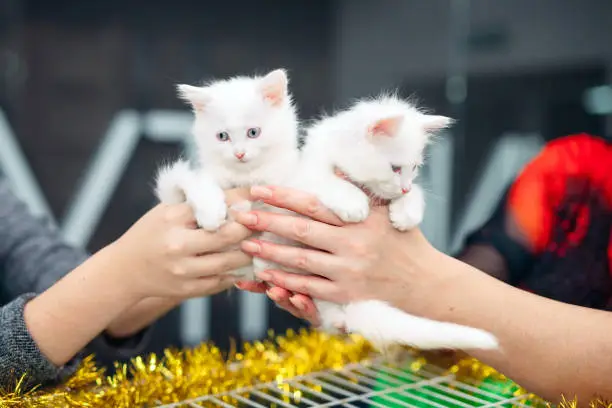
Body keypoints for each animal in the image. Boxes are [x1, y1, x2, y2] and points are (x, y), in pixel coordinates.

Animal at [155, 69, 298, 278]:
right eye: (222, 136)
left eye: (253, 132)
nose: (239, 153)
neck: (245, 176)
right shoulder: (208, 174)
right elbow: (201, 186)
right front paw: (211, 214)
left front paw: (267, 260)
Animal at [253, 94, 498, 352]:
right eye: (395, 168)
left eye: (415, 167)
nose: (404, 187)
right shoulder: (302, 178)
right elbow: (328, 181)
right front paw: (353, 204)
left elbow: (417, 192)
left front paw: (406, 211)